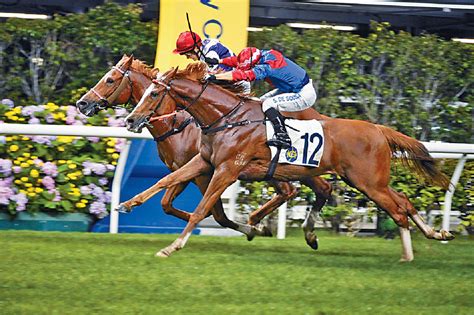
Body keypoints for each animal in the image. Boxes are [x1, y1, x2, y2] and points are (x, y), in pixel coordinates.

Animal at [76, 55, 332, 242]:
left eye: (110, 80)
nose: (82, 103)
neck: (177, 124)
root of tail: (319, 115)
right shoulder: (185, 168)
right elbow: (166, 203)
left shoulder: (205, 173)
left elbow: (215, 212)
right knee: (306, 189)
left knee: (300, 189)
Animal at [124, 62, 454, 262]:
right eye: (146, 90)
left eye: (153, 93)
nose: (130, 119)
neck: (227, 118)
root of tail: (378, 129)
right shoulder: (205, 161)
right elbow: (166, 180)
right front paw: (126, 204)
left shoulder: (227, 170)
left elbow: (202, 209)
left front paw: (172, 246)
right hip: (370, 180)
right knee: (404, 201)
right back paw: (436, 233)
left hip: (368, 182)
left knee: (397, 211)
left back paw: (408, 255)